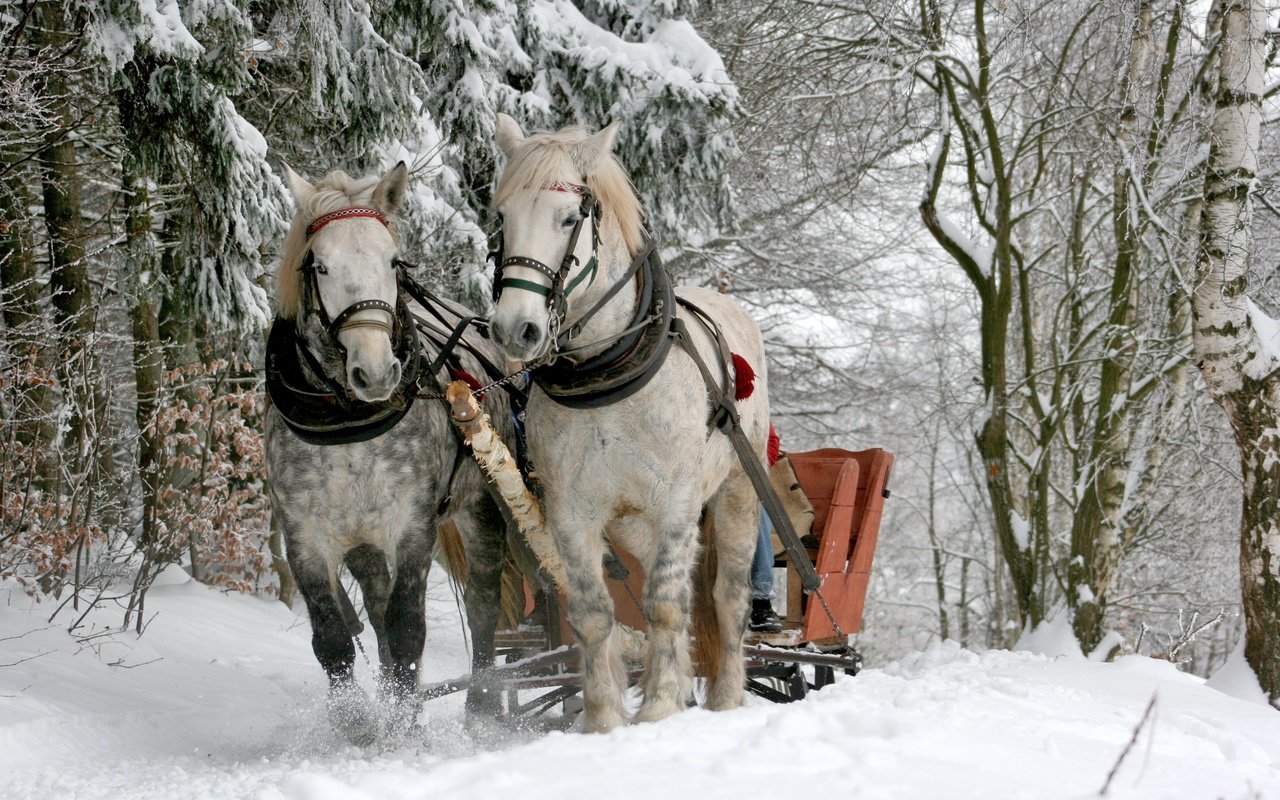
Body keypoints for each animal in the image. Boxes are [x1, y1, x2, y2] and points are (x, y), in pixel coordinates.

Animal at [488, 115, 768, 732]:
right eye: (502, 217)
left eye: (569, 218)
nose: (515, 329)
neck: (606, 374)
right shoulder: (570, 511)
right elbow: (595, 612)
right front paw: (604, 718)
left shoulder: (678, 501)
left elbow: (665, 604)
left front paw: (660, 706)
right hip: (635, 522)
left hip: (736, 491)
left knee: (725, 595)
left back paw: (726, 696)